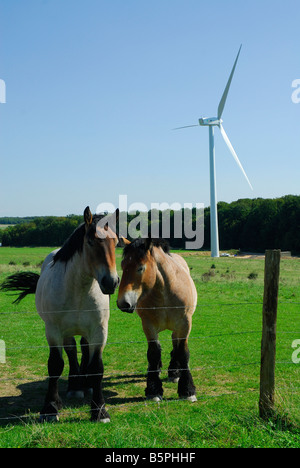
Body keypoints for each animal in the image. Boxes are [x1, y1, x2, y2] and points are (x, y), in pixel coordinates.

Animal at [116, 239, 197, 400]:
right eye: (122, 266)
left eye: (140, 268)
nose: (123, 303)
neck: (165, 292)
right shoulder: (149, 326)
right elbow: (153, 352)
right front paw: (153, 390)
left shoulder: (185, 324)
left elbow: (183, 352)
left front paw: (187, 390)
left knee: (175, 344)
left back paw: (174, 372)